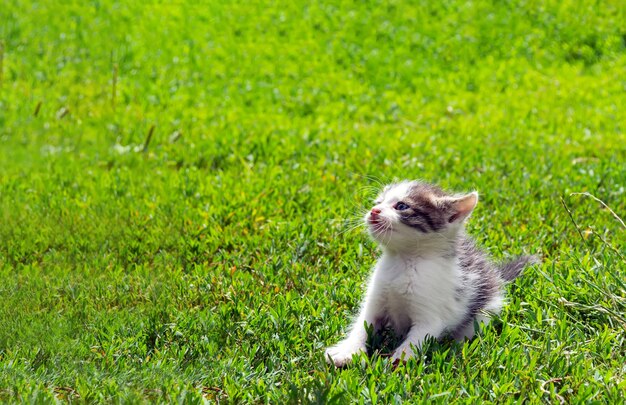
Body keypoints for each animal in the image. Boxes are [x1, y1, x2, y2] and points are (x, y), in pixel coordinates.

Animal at [324, 180, 532, 366]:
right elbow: (363, 324)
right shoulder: (376, 297)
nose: (374, 210)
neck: (404, 261)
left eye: (402, 206)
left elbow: (416, 340)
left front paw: (398, 362)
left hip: (485, 311)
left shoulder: (431, 314)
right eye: (378, 202)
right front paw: (347, 351)